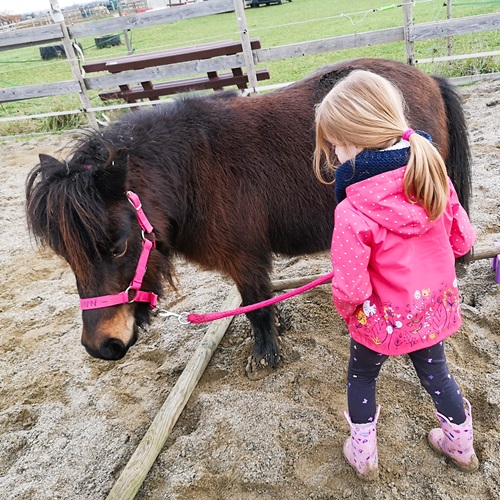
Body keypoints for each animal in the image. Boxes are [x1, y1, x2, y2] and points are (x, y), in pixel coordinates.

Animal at [25, 57, 470, 378]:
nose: (100, 347)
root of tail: (430, 79)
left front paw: (265, 354)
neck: (191, 170)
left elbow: (255, 303)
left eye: (118, 247)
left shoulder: (245, 257)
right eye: (66, 255)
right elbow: (259, 299)